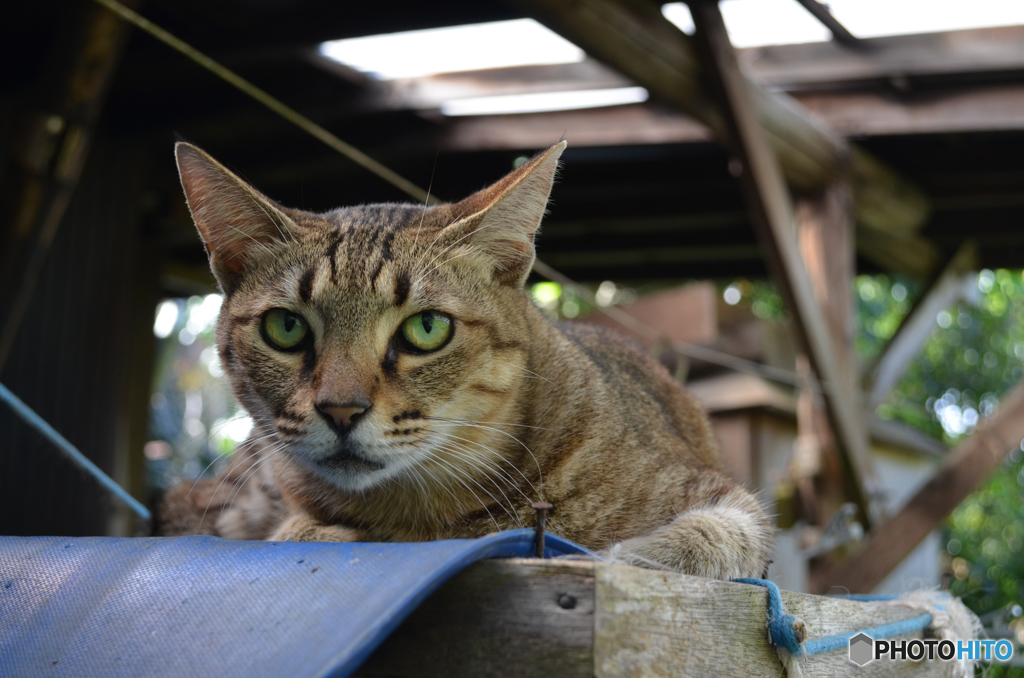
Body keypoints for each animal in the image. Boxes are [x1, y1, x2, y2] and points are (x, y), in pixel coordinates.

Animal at [155, 140, 770, 581]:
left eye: (427, 328)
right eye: (286, 328)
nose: (340, 410)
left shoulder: (720, 496)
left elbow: (721, 534)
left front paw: (634, 553)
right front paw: (315, 530)